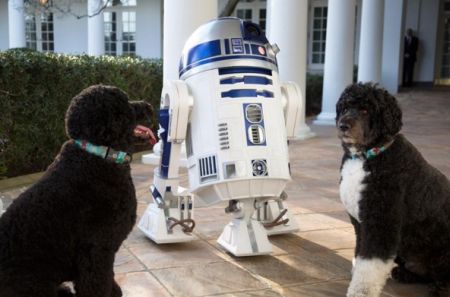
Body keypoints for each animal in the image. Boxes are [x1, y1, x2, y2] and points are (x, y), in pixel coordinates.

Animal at [0, 84, 156, 294]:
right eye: (125, 103)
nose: (150, 106)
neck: (96, 154)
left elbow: (110, 280)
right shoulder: (96, 251)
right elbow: (98, 286)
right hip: (33, 283)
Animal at [336, 82, 450, 296]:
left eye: (365, 110)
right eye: (345, 108)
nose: (343, 125)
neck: (367, 156)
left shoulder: (381, 223)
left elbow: (369, 265)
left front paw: (360, 290)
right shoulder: (361, 225)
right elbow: (360, 253)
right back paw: (405, 274)